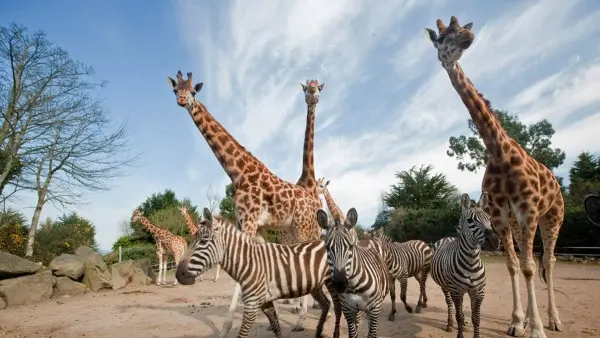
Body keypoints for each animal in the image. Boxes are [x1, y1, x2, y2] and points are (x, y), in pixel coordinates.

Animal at [169, 71, 324, 336]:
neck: (239, 173)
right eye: (174, 90)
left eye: (193, 91)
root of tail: (310, 198)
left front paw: (226, 327)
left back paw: (304, 316)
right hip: (294, 229)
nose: (181, 100)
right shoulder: (249, 223)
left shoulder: (250, 221)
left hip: (304, 227)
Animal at [176, 209, 340, 338]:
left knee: (339, 309)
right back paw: (318, 332)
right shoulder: (265, 303)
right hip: (315, 284)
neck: (250, 263)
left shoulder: (252, 304)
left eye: (203, 241)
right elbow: (276, 328)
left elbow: (242, 335)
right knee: (326, 303)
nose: (178, 275)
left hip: (333, 283)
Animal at [318, 207, 390, 336]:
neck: (354, 286)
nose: (340, 283)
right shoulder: (348, 310)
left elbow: (371, 334)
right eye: (327, 247)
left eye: (351, 246)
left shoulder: (375, 309)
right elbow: (353, 333)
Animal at [428, 193, 500, 338]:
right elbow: (459, 316)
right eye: (470, 220)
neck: (471, 263)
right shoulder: (456, 291)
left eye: (489, 218)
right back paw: (450, 324)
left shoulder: (479, 291)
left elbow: (476, 318)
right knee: (450, 304)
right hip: (446, 287)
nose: (495, 242)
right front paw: (459, 333)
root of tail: (448, 237)